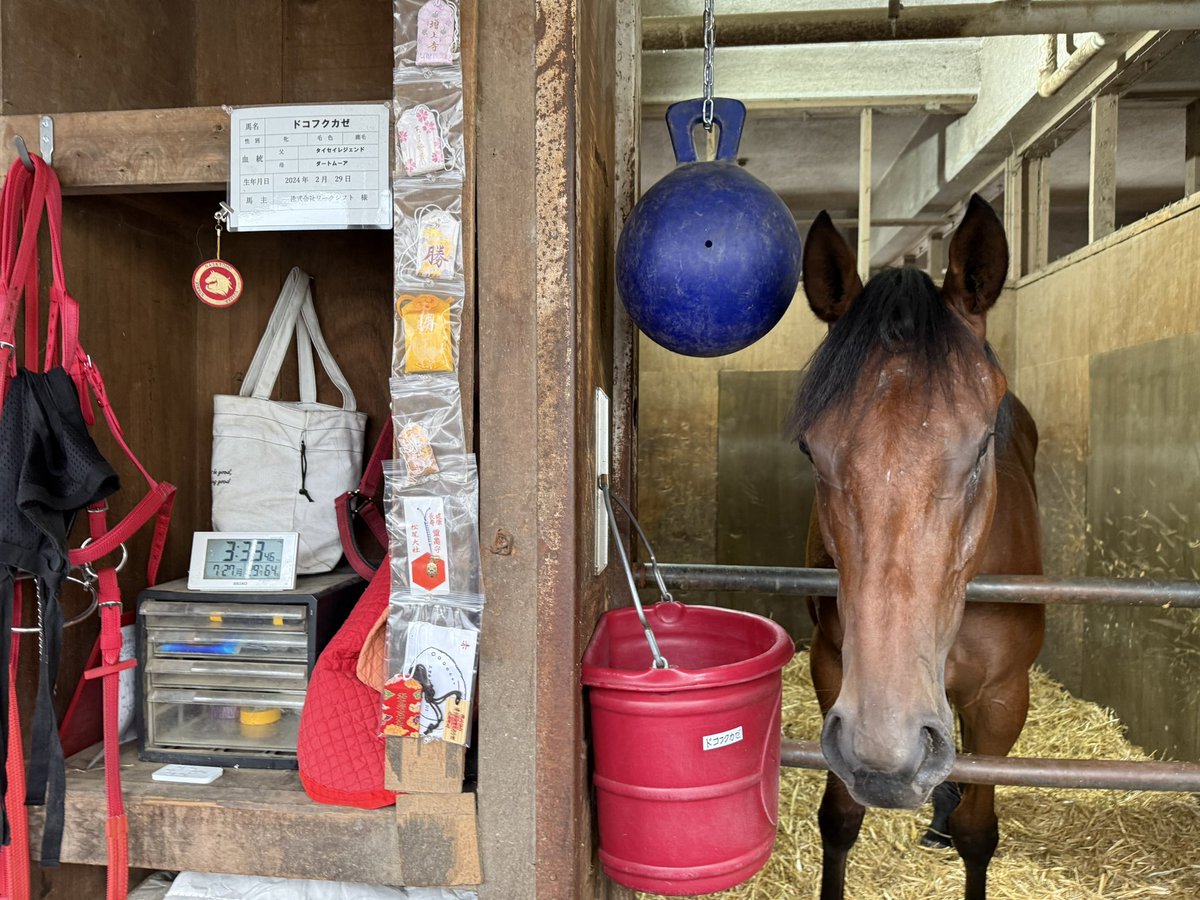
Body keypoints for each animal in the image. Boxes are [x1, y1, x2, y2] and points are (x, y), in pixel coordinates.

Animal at [790, 195, 1045, 900]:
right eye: (810, 450)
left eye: (982, 444)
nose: (887, 751)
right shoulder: (833, 671)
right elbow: (839, 819)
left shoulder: (1003, 698)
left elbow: (980, 834)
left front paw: (957, 821)